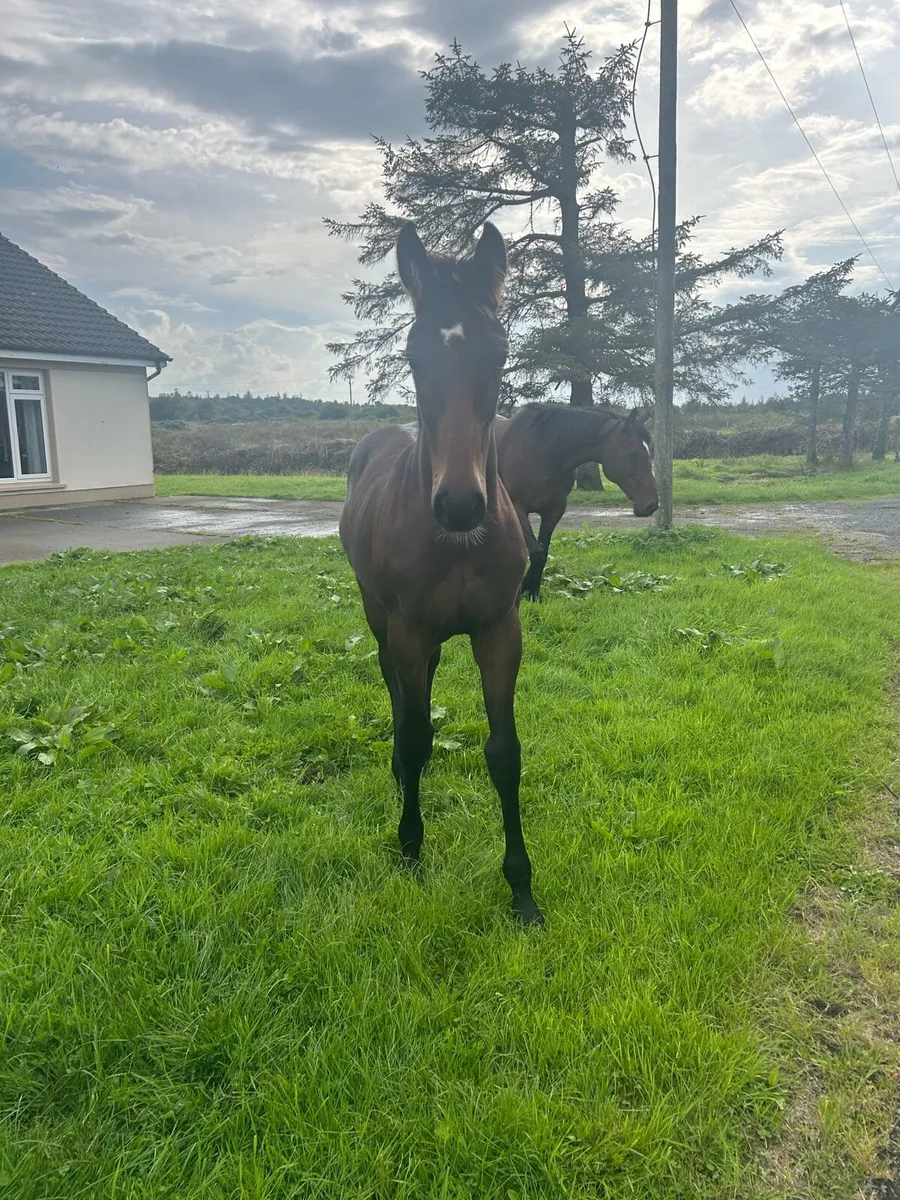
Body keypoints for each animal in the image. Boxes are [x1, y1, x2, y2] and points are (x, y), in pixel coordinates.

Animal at [339, 222, 543, 927]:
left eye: (499, 354)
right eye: (414, 356)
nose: (458, 504)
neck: (456, 544)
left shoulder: (499, 629)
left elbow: (505, 753)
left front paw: (522, 889)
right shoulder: (405, 628)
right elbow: (417, 733)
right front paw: (410, 849)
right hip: (381, 619)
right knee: (400, 700)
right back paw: (402, 774)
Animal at [494, 404, 659, 601]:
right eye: (632, 454)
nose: (651, 504)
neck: (541, 453)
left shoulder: (554, 511)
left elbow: (543, 553)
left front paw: (533, 593)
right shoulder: (518, 508)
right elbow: (536, 552)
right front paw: (525, 589)